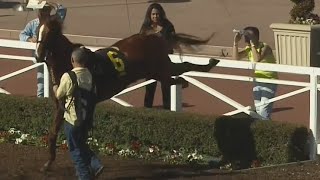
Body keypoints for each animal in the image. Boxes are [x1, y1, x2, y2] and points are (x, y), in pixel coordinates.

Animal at [35, 15, 220, 170]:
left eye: (50, 32)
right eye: (38, 30)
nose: (38, 55)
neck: (69, 64)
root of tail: (153, 37)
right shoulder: (63, 106)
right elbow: (53, 133)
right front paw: (48, 163)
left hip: (159, 68)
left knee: (179, 71)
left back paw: (206, 66)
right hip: (156, 70)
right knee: (178, 71)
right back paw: (198, 71)